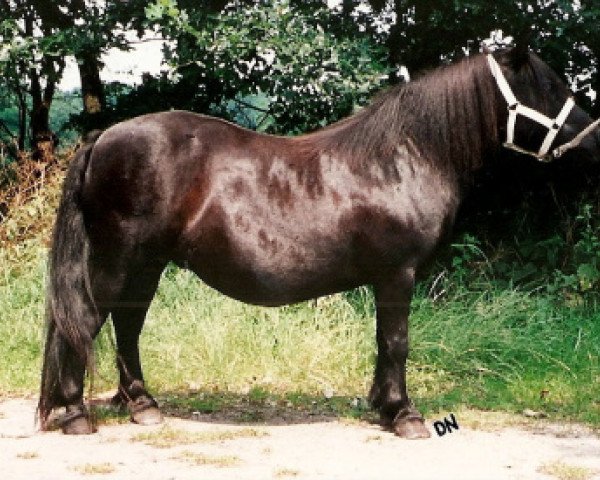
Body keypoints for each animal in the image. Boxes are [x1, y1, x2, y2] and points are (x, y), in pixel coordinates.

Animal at [38, 47, 600, 436]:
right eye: (549, 88)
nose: (594, 138)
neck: (402, 158)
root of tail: (104, 138)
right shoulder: (398, 276)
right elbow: (397, 342)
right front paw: (405, 415)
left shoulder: (386, 281)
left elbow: (383, 342)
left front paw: (382, 407)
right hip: (117, 260)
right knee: (82, 322)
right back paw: (73, 414)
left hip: (146, 265)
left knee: (127, 326)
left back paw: (142, 405)